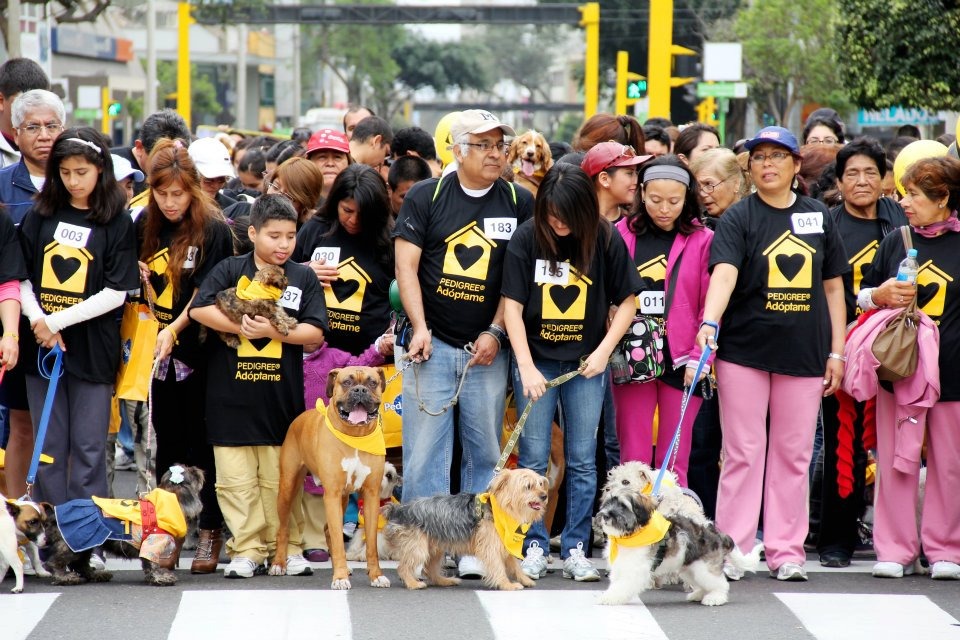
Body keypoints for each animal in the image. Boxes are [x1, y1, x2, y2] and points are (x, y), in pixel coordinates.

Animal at [270, 364, 390, 592]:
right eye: (347, 382)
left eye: (372, 382)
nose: (360, 390)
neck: (356, 435)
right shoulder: (332, 495)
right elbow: (338, 540)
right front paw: (340, 577)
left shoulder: (371, 495)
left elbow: (371, 543)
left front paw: (376, 575)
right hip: (287, 488)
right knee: (283, 529)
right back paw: (278, 564)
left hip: (343, 498)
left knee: (327, 530)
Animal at [596, 490, 760, 604]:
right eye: (607, 503)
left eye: (623, 506)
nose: (605, 515)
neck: (632, 534)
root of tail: (716, 534)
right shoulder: (622, 566)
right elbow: (618, 583)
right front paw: (610, 596)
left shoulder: (636, 570)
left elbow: (622, 586)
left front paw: (609, 598)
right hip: (690, 569)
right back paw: (698, 594)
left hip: (704, 568)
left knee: (720, 584)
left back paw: (715, 598)